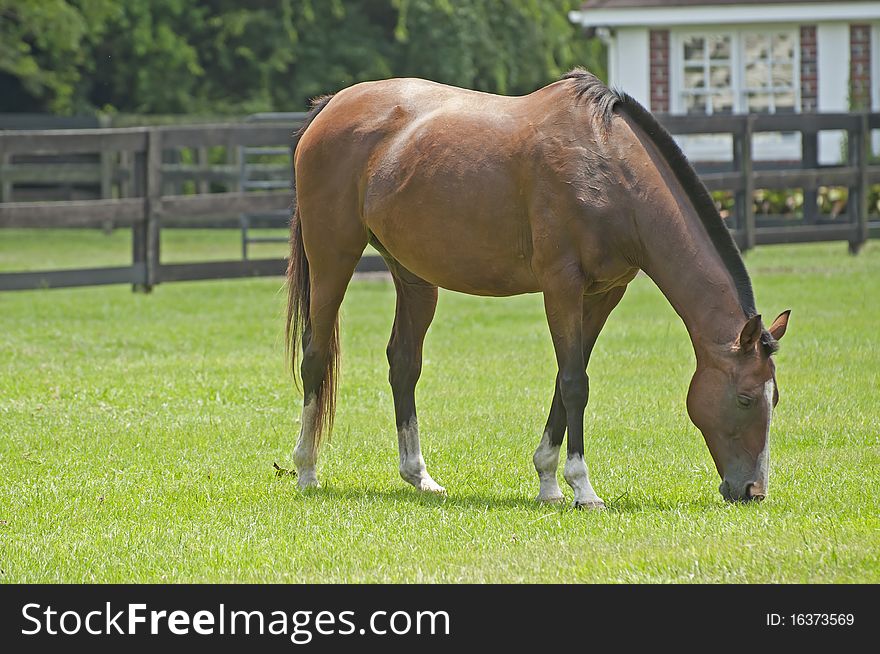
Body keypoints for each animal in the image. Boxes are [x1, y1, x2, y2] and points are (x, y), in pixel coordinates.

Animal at [288, 69, 792, 508]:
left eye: (775, 398)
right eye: (746, 398)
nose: (753, 491)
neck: (609, 170)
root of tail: (333, 105)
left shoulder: (604, 294)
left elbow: (565, 378)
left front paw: (549, 481)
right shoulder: (561, 286)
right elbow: (574, 383)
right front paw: (583, 488)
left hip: (414, 276)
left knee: (404, 364)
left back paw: (419, 476)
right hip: (333, 258)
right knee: (316, 354)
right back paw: (306, 470)